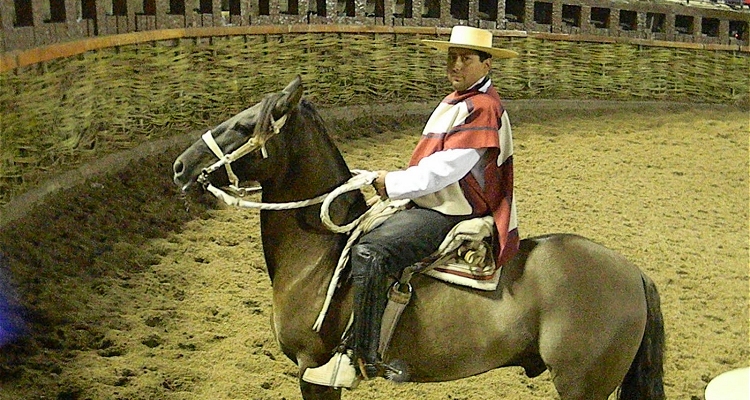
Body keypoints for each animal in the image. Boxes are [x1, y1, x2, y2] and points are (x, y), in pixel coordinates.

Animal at [173, 76, 668, 400]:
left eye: (243, 126)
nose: (180, 165)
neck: (318, 260)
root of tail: (634, 274)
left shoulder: (312, 371)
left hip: (582, 386)